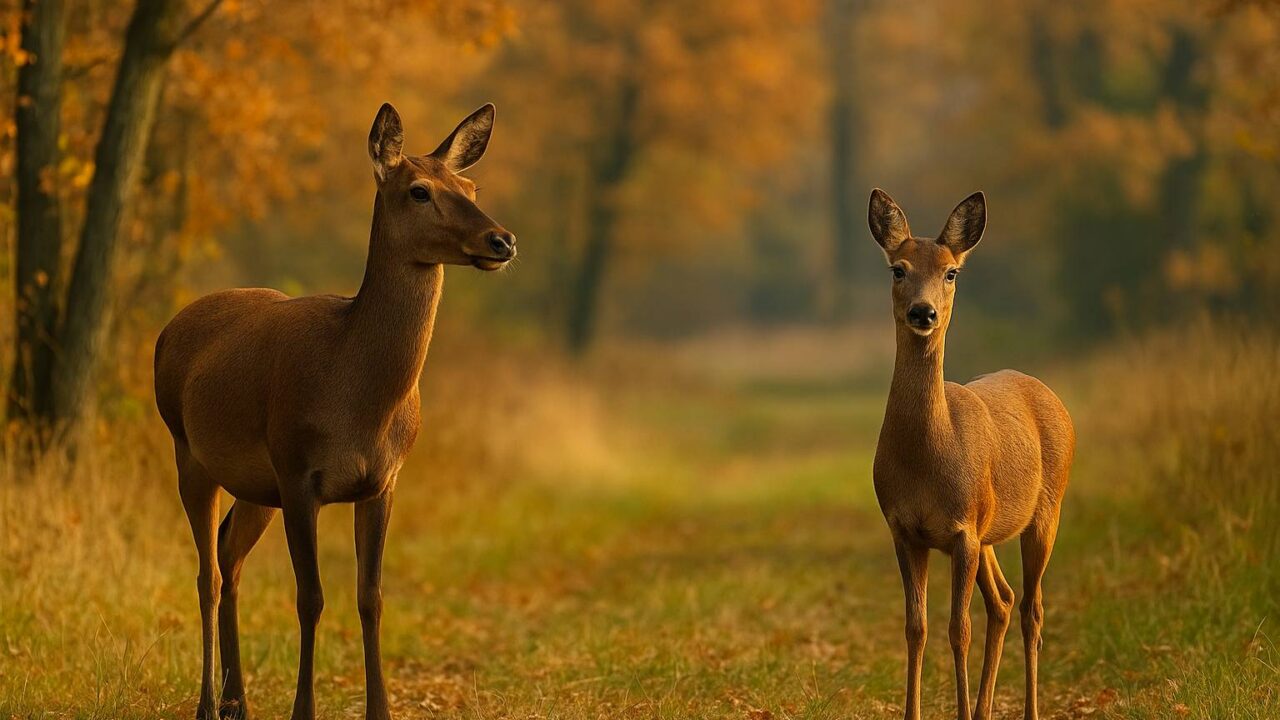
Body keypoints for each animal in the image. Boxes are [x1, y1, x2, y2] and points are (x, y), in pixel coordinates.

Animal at [153, 102, 516, 720]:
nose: (502, 240)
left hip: (256, 486)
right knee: (208, 574)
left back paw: (237, 699)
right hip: (189, 451)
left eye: (471, 186)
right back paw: (206, 703)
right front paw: (304, 709)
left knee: (230, 557)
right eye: (419, 190)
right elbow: (311, 597)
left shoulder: (382, 481)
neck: (360, 404)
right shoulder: (299, 472)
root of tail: (167, 331)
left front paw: (381, 710)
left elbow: (370, 596)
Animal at [868, 189, 1074, 720]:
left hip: (1045, 512)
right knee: (1002, 601)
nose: (923, 312)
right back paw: (984, 709)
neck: (926, 460)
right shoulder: (905, 529)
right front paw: (914, 713)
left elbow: (957, 629)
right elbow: (915, 628)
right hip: (989, 533)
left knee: (1030, 608)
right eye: (897, 269)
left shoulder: (962, 530)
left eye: (951, 272)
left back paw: (1028, 710)